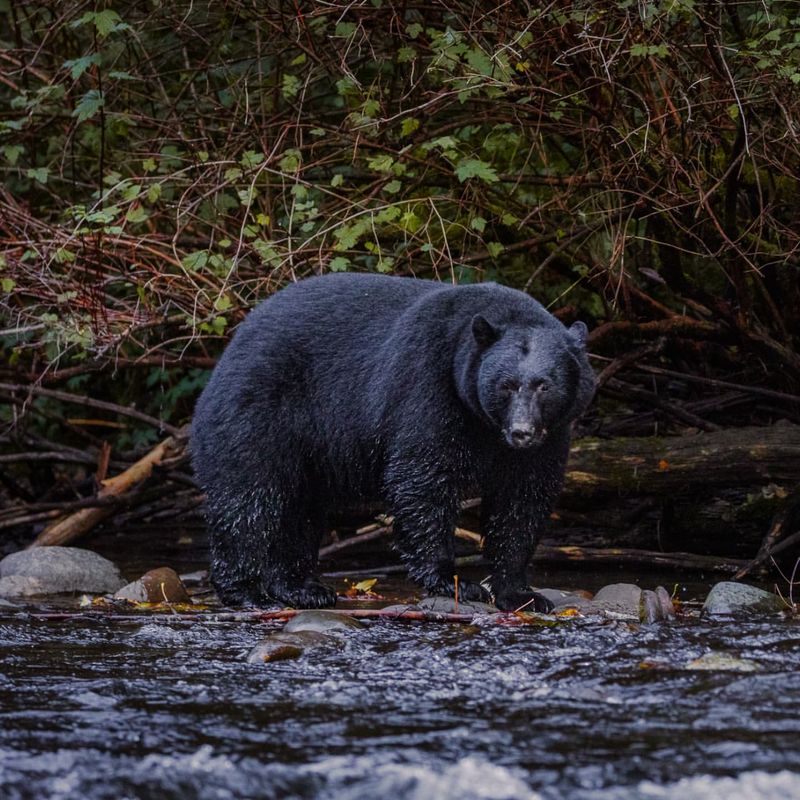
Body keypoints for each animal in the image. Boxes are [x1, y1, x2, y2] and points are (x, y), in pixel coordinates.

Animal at [192, 272, 592, 608]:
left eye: (545, 385)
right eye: (506, 385)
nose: (522, 432)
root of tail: (228, 351)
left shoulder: (549, 437)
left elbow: (523, 500)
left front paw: (520, 592)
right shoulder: (429, 386)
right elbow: (424, 478)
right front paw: (453, 581)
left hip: (305, 453)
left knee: (299, 511)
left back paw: (301, 588)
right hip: (259, 414)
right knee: (249, 498)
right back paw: (245, 592)